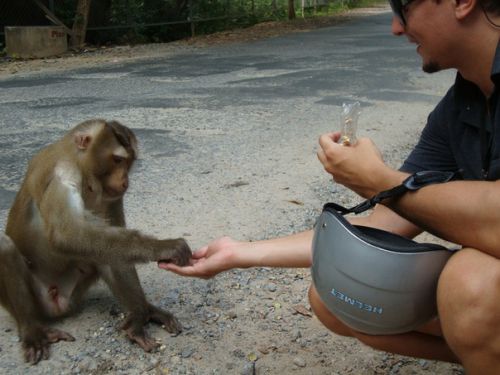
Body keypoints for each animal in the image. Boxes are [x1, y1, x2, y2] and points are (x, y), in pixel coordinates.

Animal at [0, 119, 191, 364]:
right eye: (118, 160)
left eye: (128, 162)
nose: (125, 180)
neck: (80, 166)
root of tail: (57, 305)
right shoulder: (61, 174)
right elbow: (67, 234)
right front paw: (165, 247)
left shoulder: (111, 194)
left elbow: (115, 243)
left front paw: (142, 311)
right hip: (38, 300)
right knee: (5, 246)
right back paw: (32, 330)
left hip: (74, 292)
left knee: (104, 253)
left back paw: (139, 315)